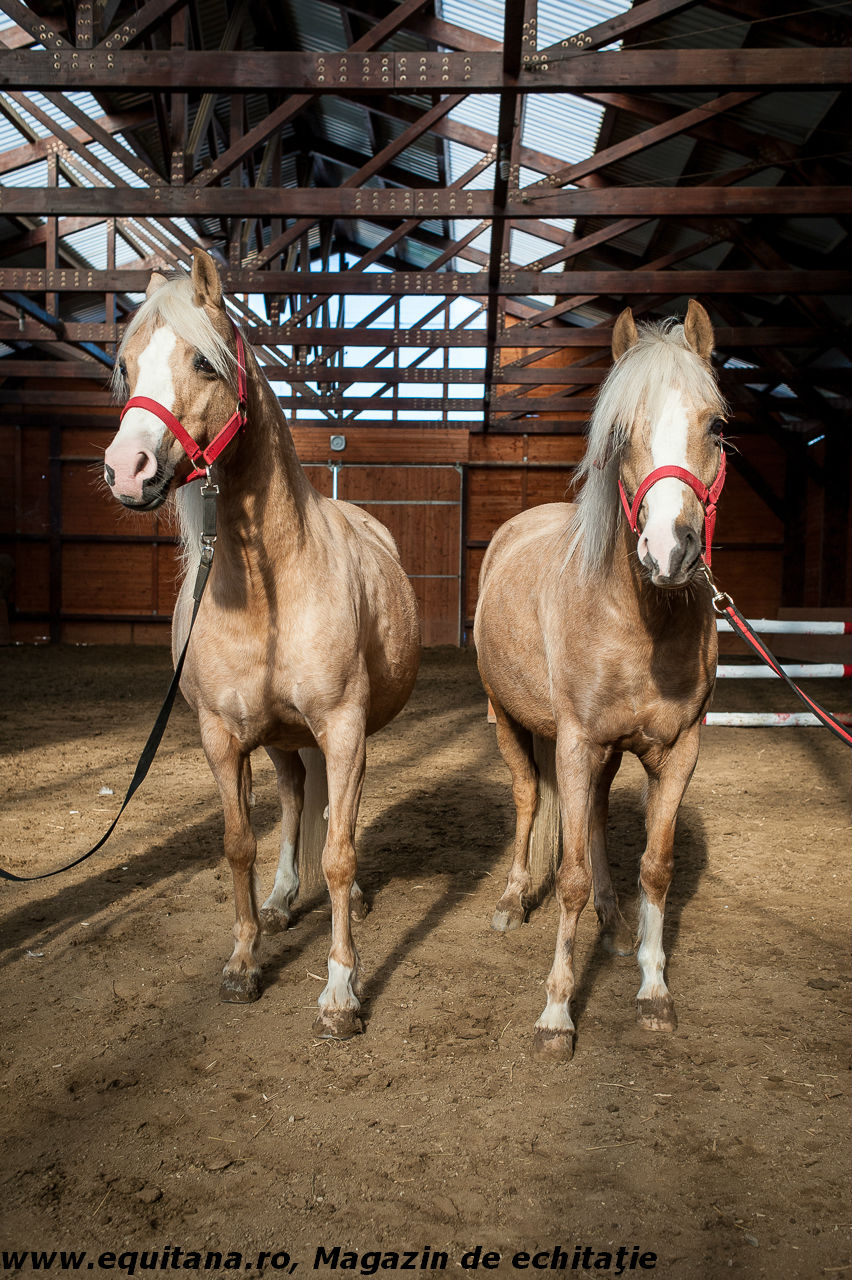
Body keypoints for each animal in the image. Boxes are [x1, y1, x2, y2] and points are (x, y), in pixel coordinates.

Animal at [102, 249, 417, 1039]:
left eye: (204, 362)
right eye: (124, 365)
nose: (127, 469)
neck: (269, 585)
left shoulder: (343, 727)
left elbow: (339, 852)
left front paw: (340, 992)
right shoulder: (222, 734)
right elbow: (240, 842)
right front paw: (244, 961)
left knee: (333, 814)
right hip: (277, 737)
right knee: (298, 796)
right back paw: (279, 903)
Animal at [470, 296, 721, 1059]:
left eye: (715, 426)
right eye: (619, 433)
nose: (669, 551)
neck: (640, 621)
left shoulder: (678, 751)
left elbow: (655, 867)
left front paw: (652, 986)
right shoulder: (576, 743)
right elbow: (571, 875)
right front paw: (557, 1012)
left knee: (599, 817)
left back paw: (612, 925)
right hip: (509, 719)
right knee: (530, 802)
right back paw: (513, 900)